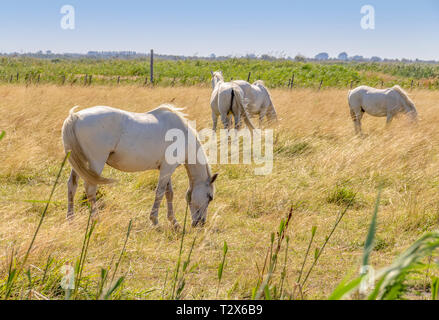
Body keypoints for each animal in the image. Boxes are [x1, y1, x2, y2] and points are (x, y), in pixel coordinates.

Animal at [61, 104, 219, 228]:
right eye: (210, 197)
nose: (200, 223)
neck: (182, 135)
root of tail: (75, 117)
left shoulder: (166, 169)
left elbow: (169, 193)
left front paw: (174, 222)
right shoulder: (167, 169)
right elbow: (160, 193)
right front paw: (155, 221)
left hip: (79, 164)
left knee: (72, 186)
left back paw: (70, 219)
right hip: (96, 163)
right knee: (90, 189)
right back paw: (96, 218)